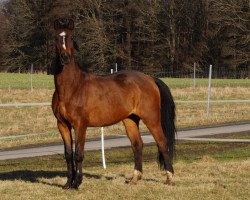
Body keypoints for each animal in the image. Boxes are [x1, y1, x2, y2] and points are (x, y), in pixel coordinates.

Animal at [51, 18, 176, 189]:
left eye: (71, 37)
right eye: (57, 38)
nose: (65, 57)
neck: (72, 88)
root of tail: (150, 78)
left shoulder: (80, 125)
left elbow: (78, 154)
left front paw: (77, 183)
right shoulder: (62, 125)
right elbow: (68, 154)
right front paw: (68, 183)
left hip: (152, 119)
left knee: (162, 143)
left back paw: (169, 178)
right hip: (130, 120)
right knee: (137, 145)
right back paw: (134, 179)